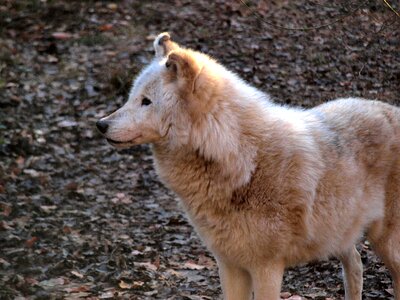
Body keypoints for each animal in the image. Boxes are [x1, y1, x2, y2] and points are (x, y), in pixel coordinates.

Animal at [98, 32, 400, 300]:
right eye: (131, 98)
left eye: (146, 102)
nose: (101, 124)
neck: (243, 158)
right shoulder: (229, 265)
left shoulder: (267, 267)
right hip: (339, 235)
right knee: (357, 265)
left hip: (384, 242)